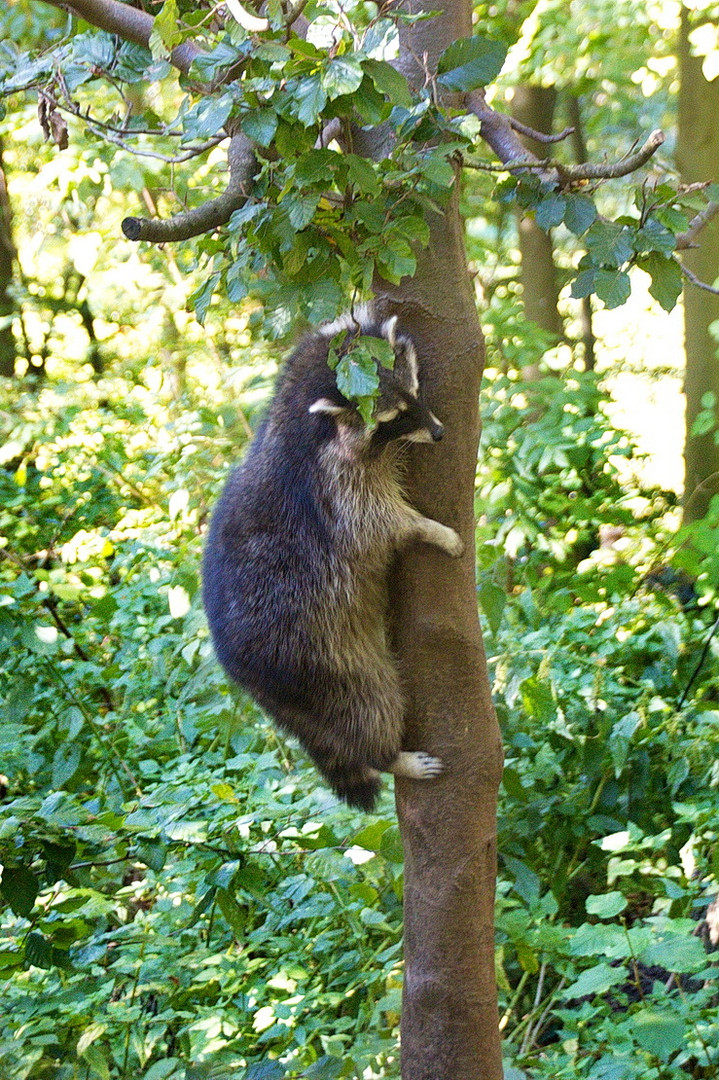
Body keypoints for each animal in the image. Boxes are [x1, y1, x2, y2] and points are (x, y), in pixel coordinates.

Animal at [201, 306, 462, 812]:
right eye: (393, 416)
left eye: (416, 391)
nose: (440, 432)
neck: (297, 411)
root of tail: (240, 671)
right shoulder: (331, 486)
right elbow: (377, 521)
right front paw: (430, 529)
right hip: (312, 662)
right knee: (366, 705)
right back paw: (388, 756)